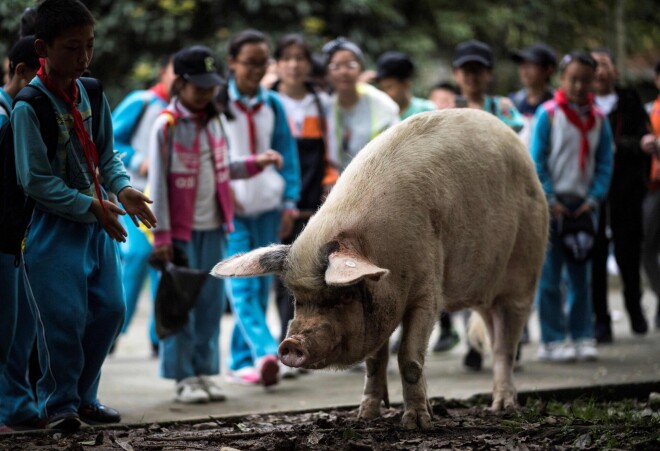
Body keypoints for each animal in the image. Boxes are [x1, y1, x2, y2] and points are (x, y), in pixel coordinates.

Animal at [211, 109, 548, 430]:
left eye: (342, 296)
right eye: (297, 299)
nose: (290, 344)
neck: (383, 257)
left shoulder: (428, 291)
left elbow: (409, 359)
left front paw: (417, 424)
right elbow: (375, 362)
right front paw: (365, 417)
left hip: (525, 274)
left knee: (505, 345)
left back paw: (503, 408)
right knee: (494, 335)